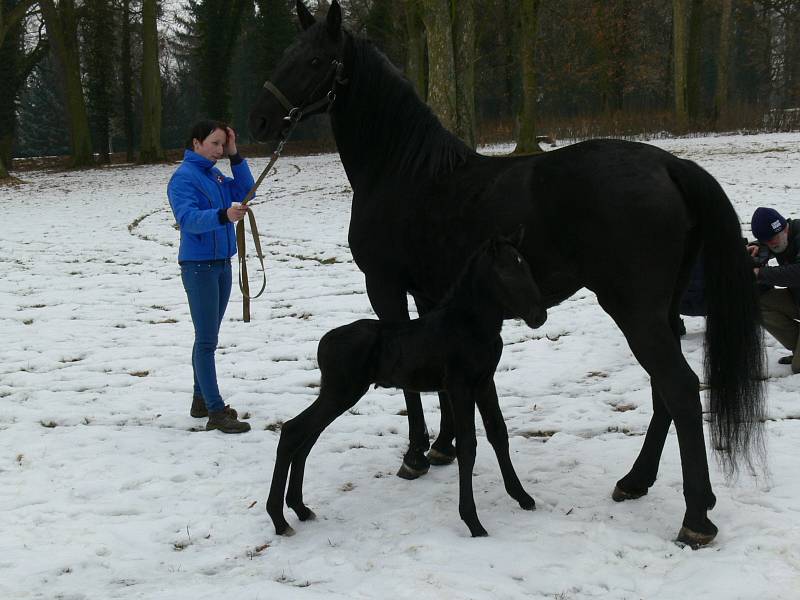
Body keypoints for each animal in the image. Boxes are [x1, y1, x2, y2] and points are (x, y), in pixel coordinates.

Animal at [266, 232, 548, 536]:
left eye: (526, 267)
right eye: (506, 272)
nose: (539, 316)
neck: (469, 325)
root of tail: (324, 343)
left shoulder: (484, 383)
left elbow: (498, 434)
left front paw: (523, 497)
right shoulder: (459, 387)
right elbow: (468, 445)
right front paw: (473, 522)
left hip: (337, 395)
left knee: (306, 437)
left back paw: (300, 509)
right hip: (341, 393)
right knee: (293, 431)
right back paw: (279, 519)